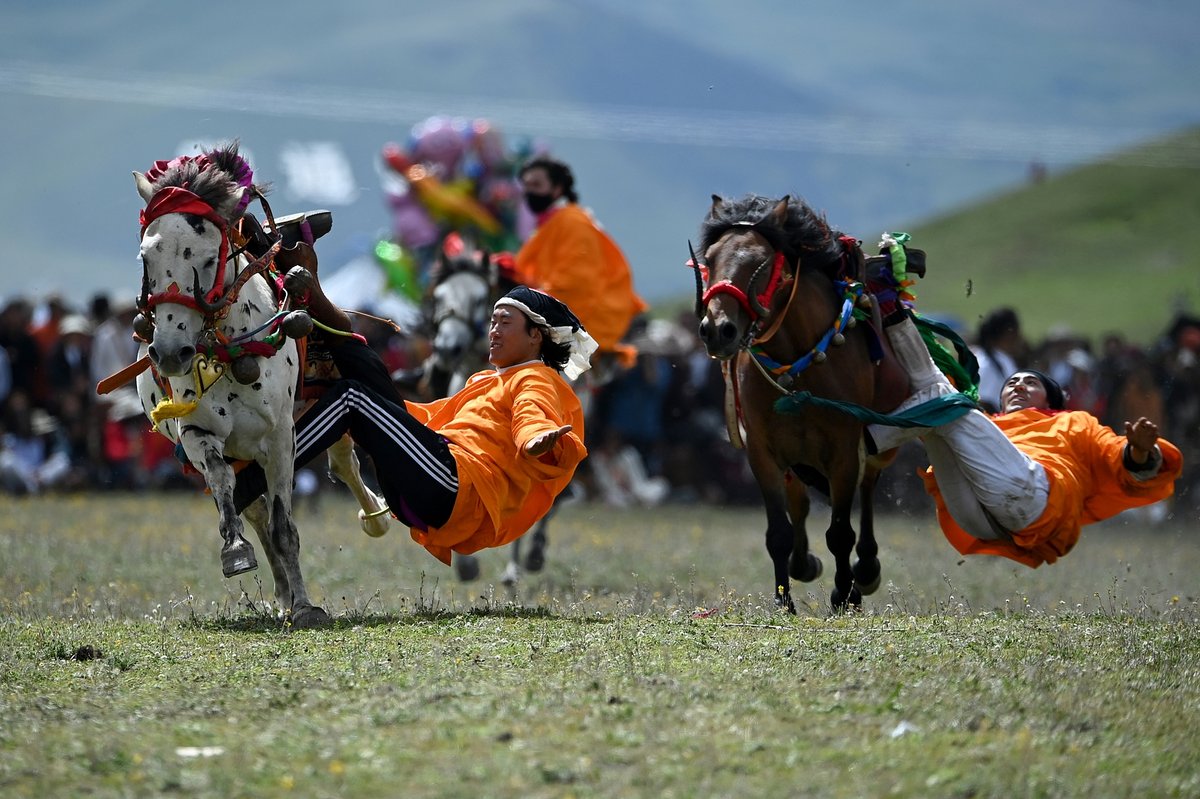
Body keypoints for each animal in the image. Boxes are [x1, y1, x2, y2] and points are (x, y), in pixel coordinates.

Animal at [696, 193, 907, 609]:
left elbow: (841, 532)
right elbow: (778, 531)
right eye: (709, 259)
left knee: (867, 493)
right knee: (801, 504)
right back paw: (804, 563)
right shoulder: (762, 452)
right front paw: (784, 601)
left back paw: (865, 571)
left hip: (878, 448)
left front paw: (845, 595)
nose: (717, 330)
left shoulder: (844, 452)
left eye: (761, 261)